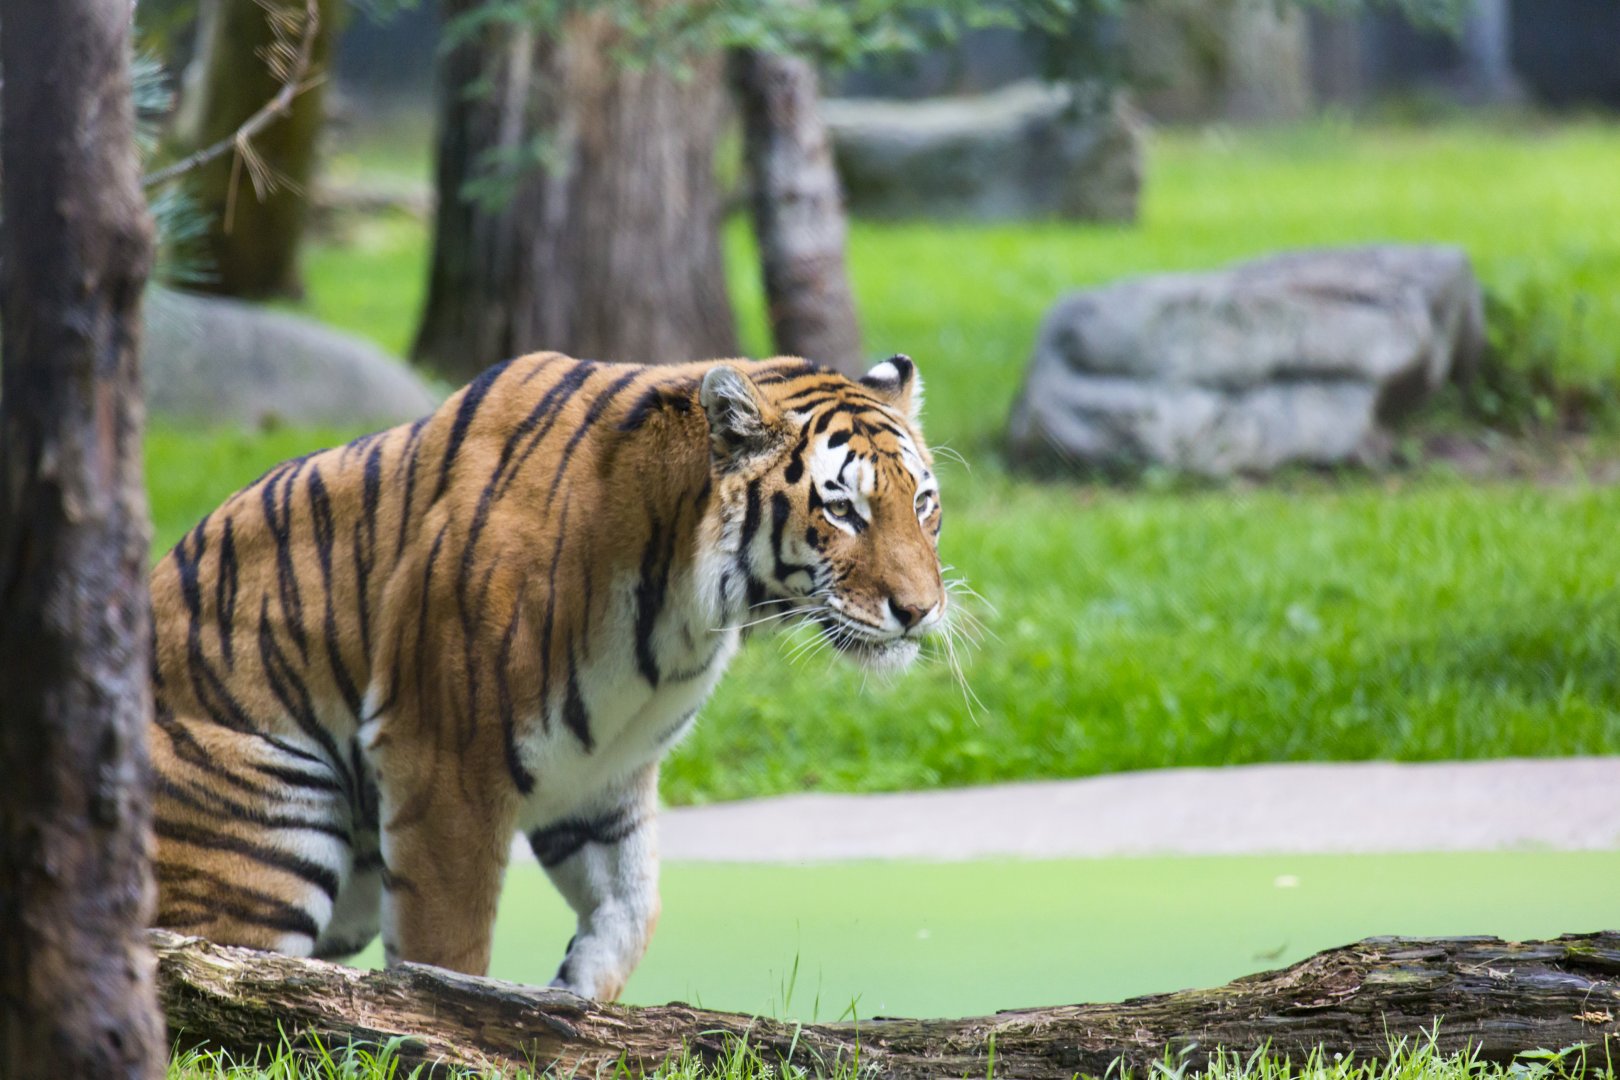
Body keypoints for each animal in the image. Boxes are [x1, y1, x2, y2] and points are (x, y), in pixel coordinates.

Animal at [147, 351, 947, 1000]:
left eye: (922, 504)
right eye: (842, 509)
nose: (921, 610)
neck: (682, 611)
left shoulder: (606, 776)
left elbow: (633, 910)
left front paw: (575, 999)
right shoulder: (444, 764)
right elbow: (448, 949)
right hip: (268, 841)